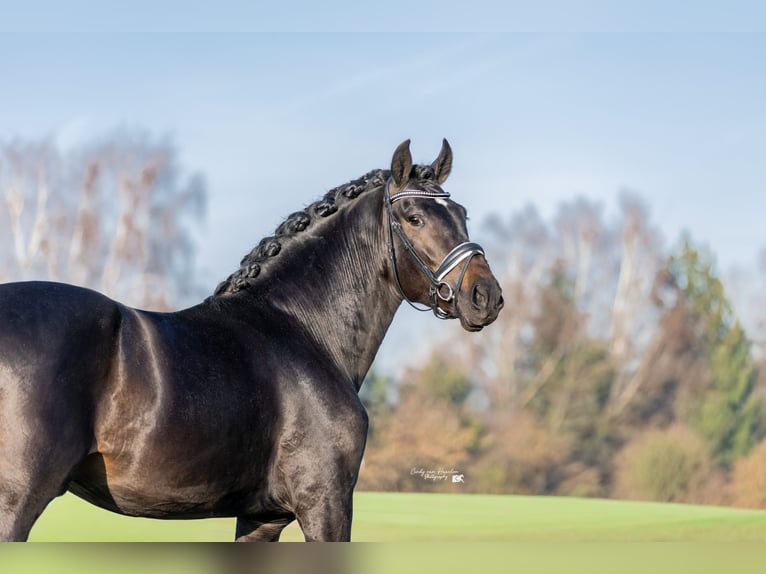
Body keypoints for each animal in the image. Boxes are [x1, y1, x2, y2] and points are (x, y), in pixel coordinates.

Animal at [0, 139, 503, 541]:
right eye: (414, 217)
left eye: (461, 214)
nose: (485, 295)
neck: (302, 327)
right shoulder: (326, 503)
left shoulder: (262, 518)